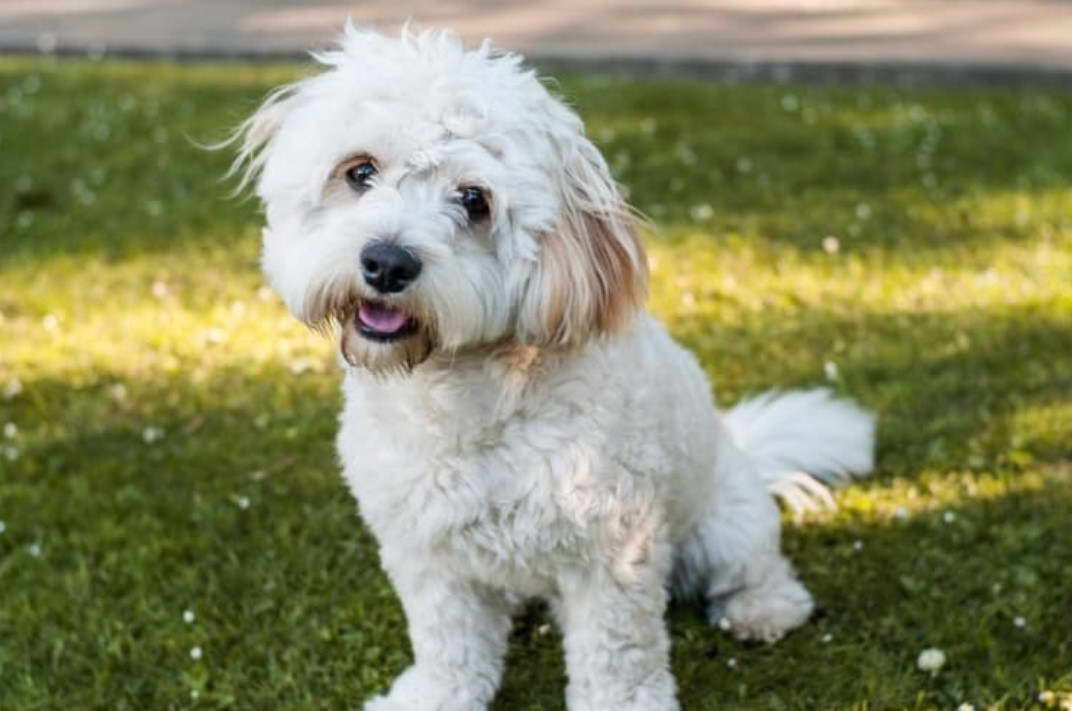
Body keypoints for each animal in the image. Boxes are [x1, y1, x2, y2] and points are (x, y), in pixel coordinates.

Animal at [230, 25, 874, 707]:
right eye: (359, 172)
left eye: (474, 200)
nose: (386, 262)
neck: (467, 401)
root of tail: (741, 447)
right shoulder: (427, 552)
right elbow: (448, 645)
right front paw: (435, 694)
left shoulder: (613, 554)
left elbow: (617, 658)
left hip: (724, 525)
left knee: (757, 569)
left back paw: (763, 608)